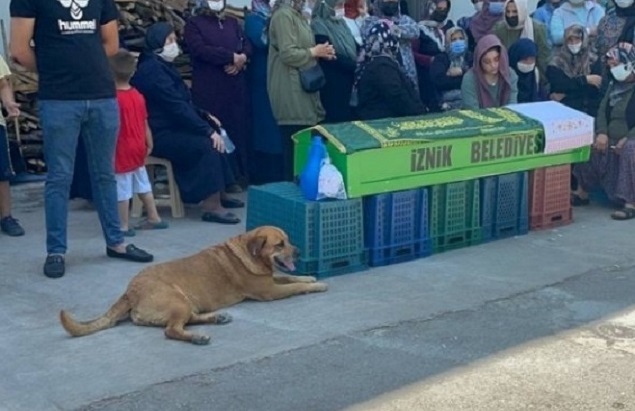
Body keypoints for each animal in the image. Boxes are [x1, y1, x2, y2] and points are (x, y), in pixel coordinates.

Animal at [60, 227, 330, 346]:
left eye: (288, 241)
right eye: (279, 245)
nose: (298, 252)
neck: (249, 252)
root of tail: (129, 291)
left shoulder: (271, 281)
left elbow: (293, 279)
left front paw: (310, 278)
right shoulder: (269, 291)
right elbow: (293, 287)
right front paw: (316, 286)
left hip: (186, 303)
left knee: (187, 320)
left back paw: (216, 318)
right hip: (178, 301)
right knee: (171, 330)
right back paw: (198, 337)